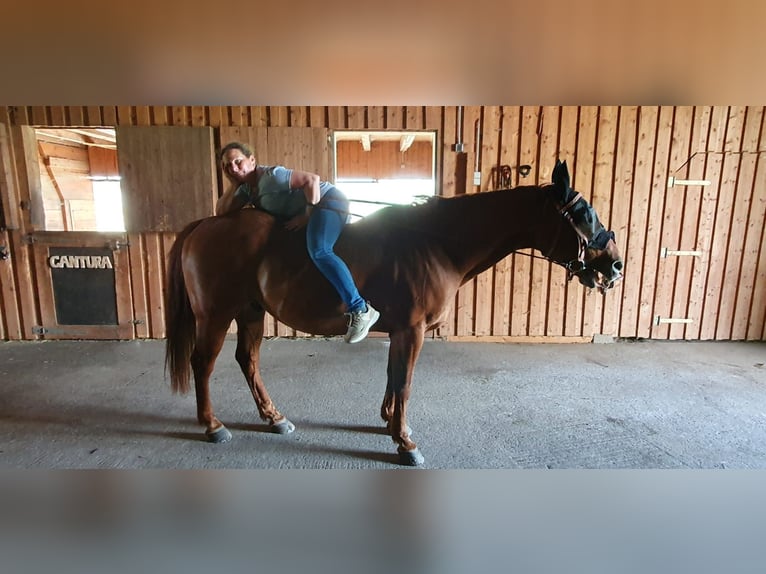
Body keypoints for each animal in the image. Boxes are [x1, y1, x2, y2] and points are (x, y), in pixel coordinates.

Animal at [166, 160, 624, 466]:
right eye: (584, 214)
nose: (615, 266)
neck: (435, 243)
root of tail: (205, 224)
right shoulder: (412, 330)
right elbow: (404, 383)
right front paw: (405, 444)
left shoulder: (401, 331)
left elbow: (393, 378)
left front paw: (389, 424)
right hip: (215, 315)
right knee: (203, 364)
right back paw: (213, 426)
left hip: (250, 313)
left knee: (248, 360)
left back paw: (273, 417)